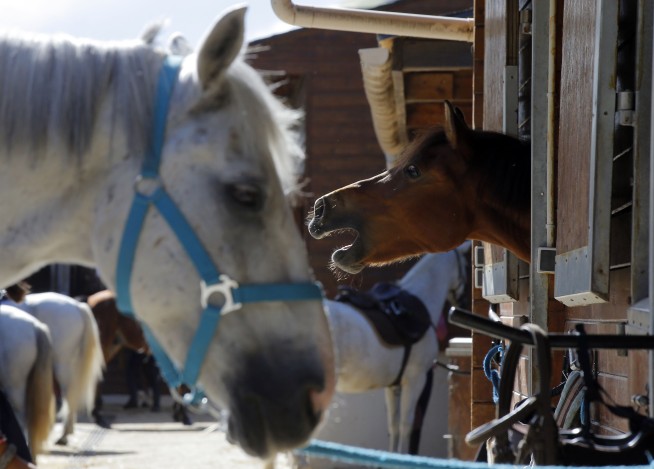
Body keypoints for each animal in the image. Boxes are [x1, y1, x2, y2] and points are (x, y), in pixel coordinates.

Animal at [324, 242, 470, 454]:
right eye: (468, 264)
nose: (465, 303)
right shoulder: (415, 380)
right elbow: (405, 425)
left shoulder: (393, 386)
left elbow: (393, 426)